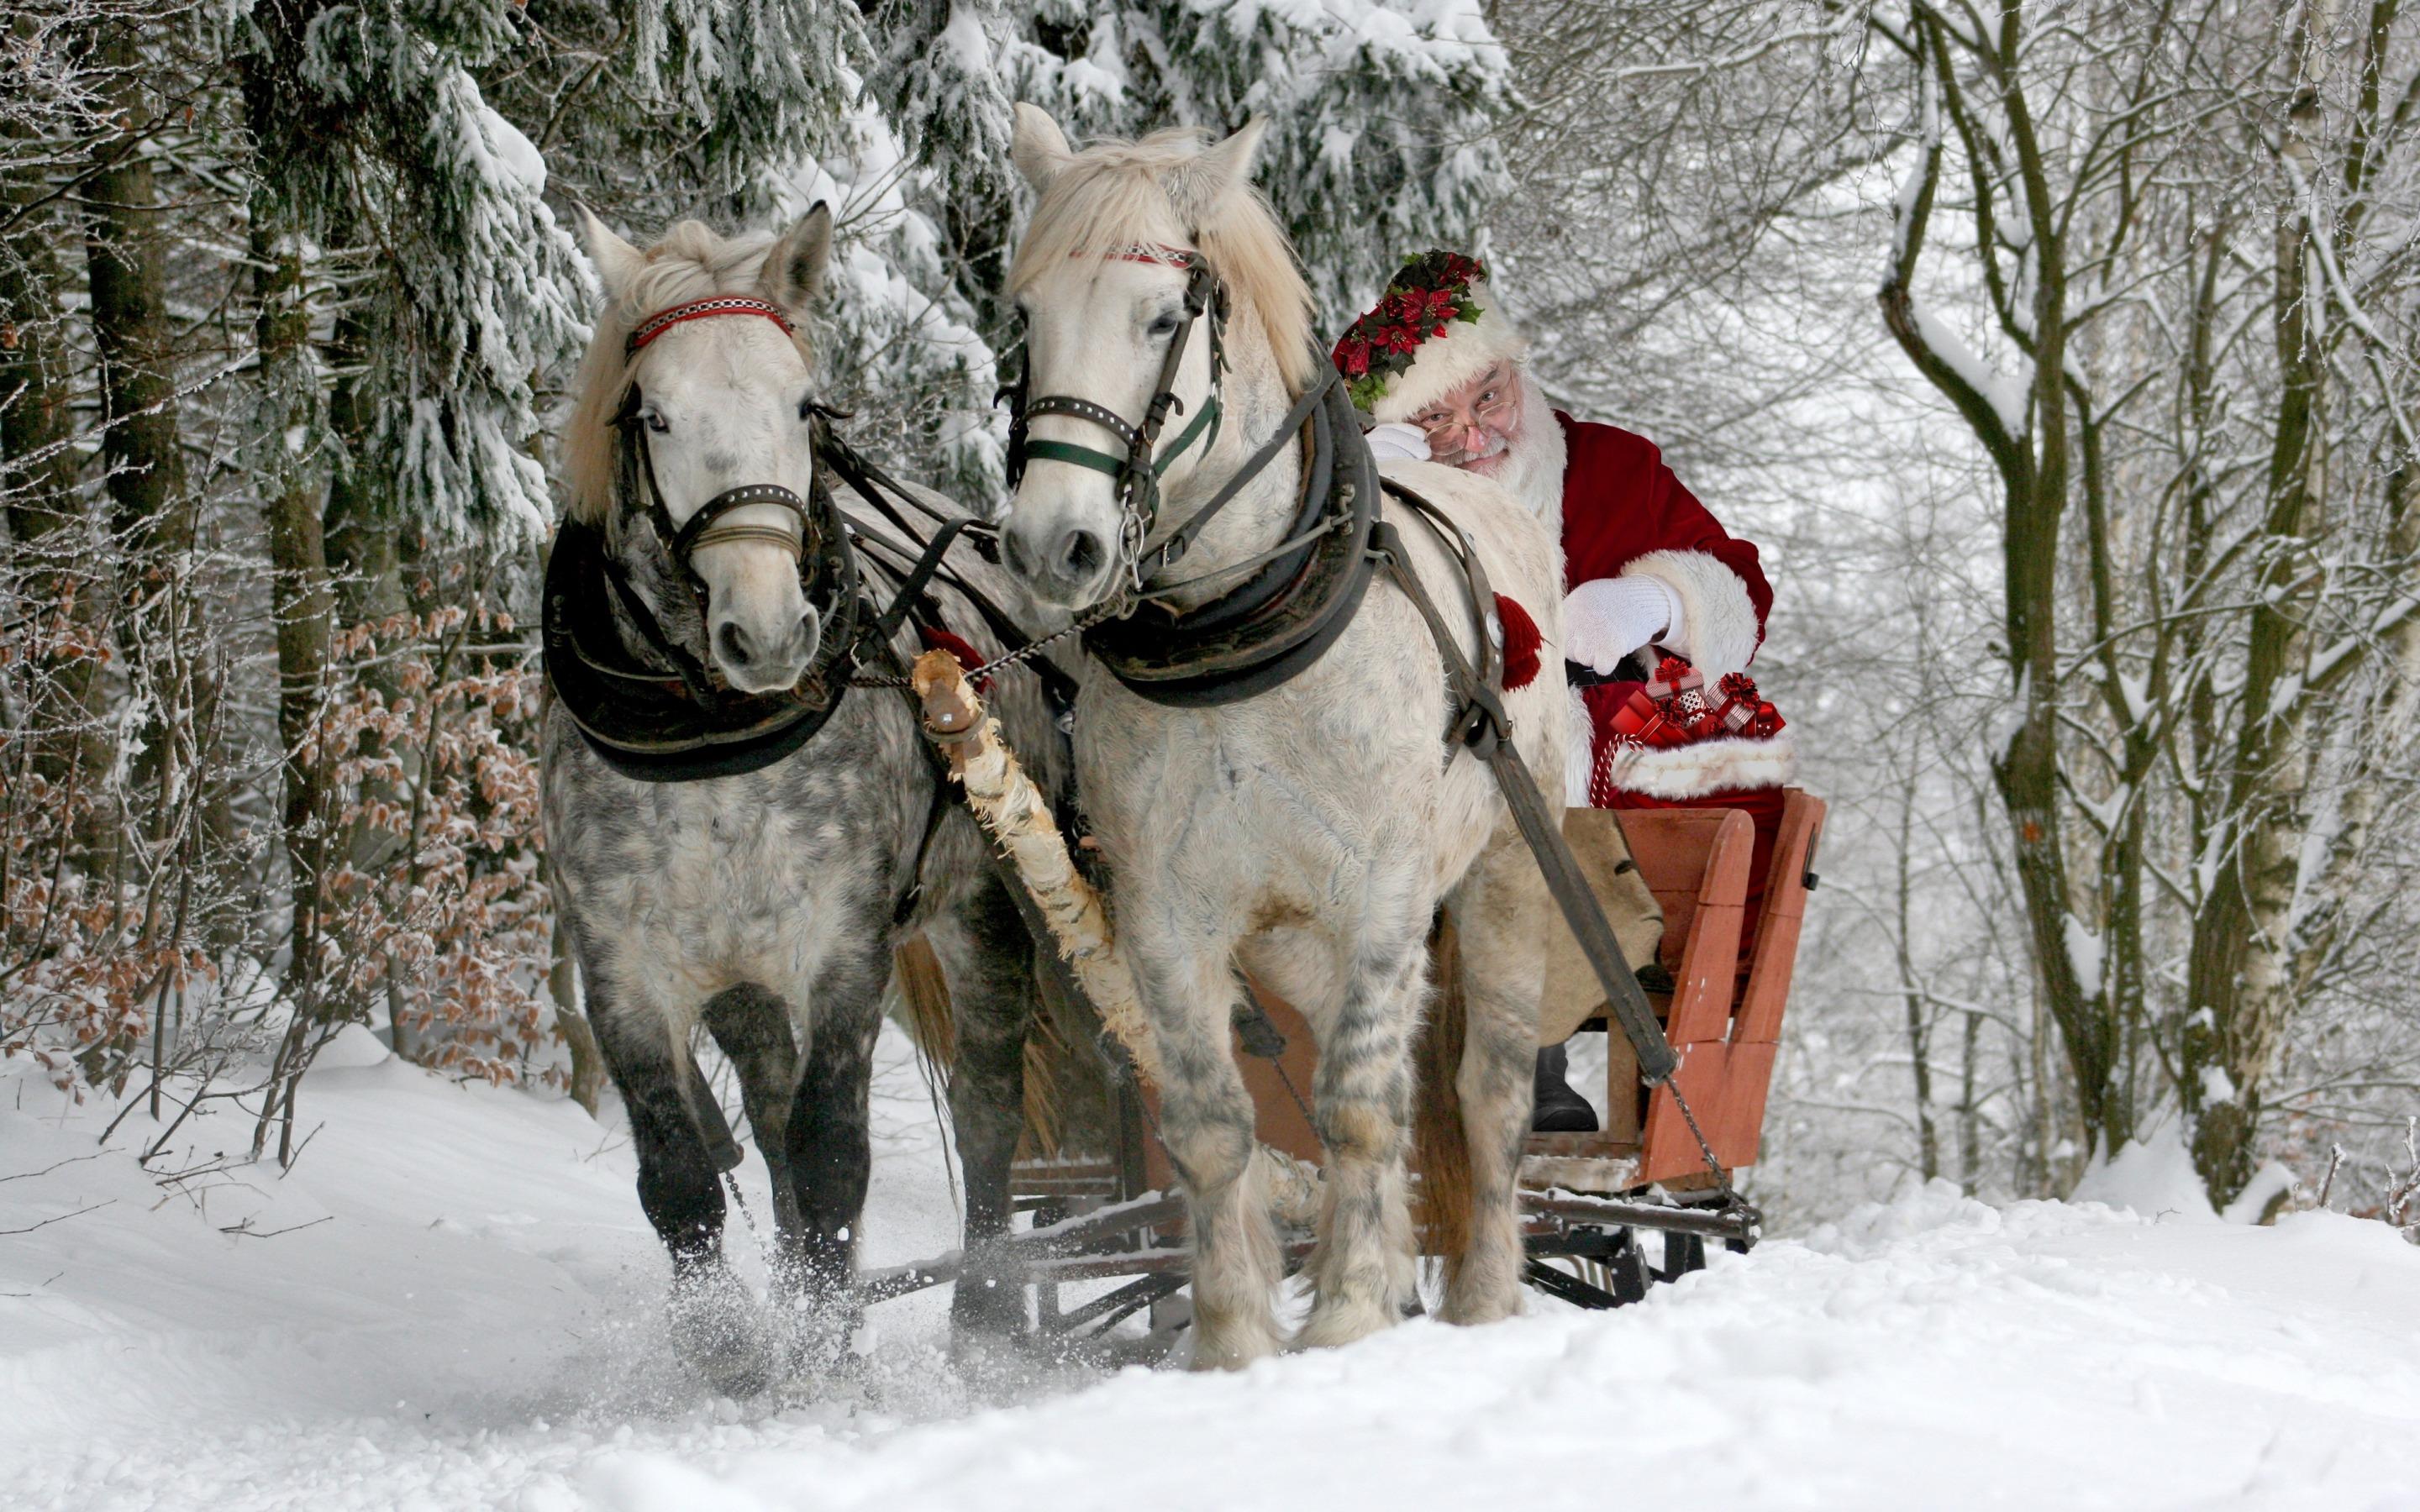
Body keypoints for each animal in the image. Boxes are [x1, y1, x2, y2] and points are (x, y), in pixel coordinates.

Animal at [542, 206, 1065, 1392]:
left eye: (803, 406)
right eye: (656, 414)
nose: (772, 632)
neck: (710, 736)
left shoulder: (842, 946)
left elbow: (835, 1157)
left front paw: (828, 1356)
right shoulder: (623, 969)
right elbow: (682, 1174)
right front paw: (733, 1346)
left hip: (987, 908)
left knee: (987, 1105)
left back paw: (985, 1314)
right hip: (739, 977)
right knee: (770, 1115)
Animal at [994, 106, 1568, 1367]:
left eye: (1163, 318)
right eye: (1027, 316)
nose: (1053, 545)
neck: (1239, 638)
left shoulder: (1387, 895)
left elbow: (1358, 1106)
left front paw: (1349, 1315)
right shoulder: (1166, 915)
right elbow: (1215, 1124)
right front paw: (1235, 1340)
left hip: (1506, 882)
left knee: (1485, 1091)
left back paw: (1485, 1297)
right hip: (1297, 940)